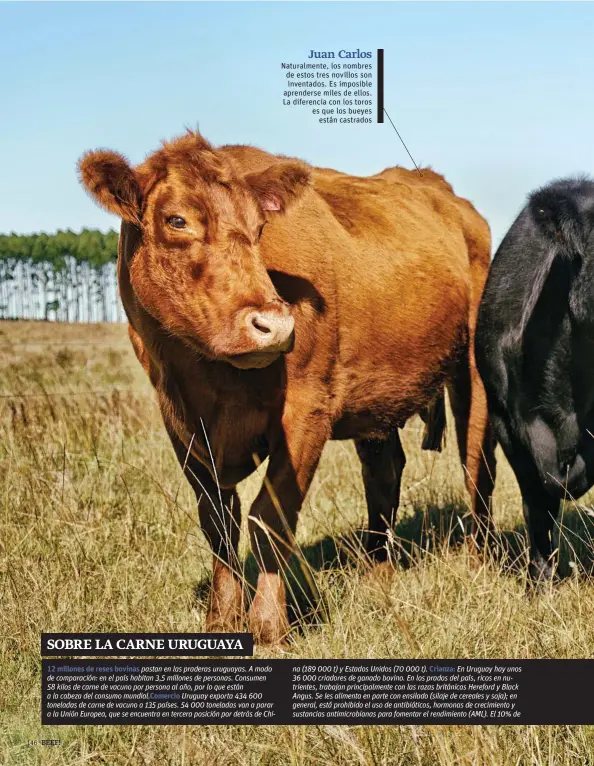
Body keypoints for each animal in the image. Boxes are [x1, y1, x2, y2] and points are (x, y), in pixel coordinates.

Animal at [78, 129, 494, 644]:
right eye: (177, 220)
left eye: (259, 228)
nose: (274, 325)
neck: (206, 379)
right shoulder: (180, 422)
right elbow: (218, 522)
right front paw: (222, 618)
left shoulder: (307, 409)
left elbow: (268, 517)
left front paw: (268, 624)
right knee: (384, 473)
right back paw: (377, 577)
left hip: (473, 372)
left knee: (475, 462)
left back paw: (479, 564)